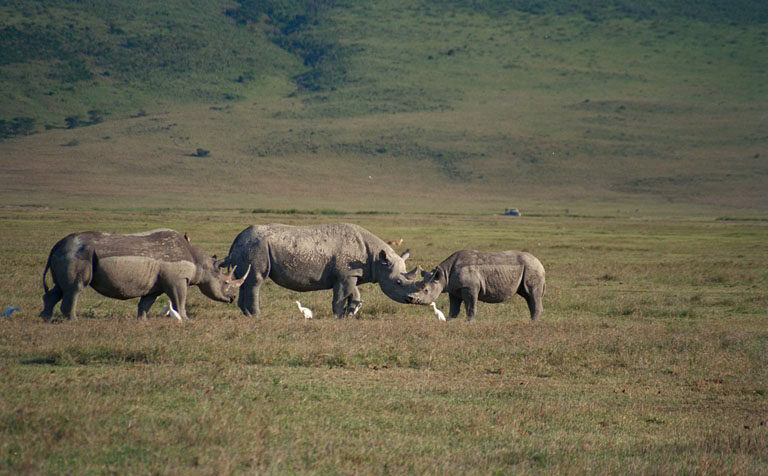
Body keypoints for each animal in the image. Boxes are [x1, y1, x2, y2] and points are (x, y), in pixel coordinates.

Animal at [40, 230, 249, 322]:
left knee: (60, 289)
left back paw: (45, 319)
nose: (232, 298)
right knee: (75, 288)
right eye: (226, 282)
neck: (201, 264)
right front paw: (185, 319)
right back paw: (74, 321)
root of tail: (56, 246)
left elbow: (146, 302)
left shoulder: (156, 284)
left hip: (68, 253)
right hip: (77, 254)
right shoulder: (177, 280)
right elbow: (180, 299)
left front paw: (142, 321)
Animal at [222, 224, 420, 320]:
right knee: (255, 281)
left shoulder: (351, 274)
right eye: (399, 283)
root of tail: (237, 238)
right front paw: (338, 317)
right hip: (256, 247)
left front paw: (350, 313)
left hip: (248, 247)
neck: (377, 260)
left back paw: (247, 315)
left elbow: (354, 294)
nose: (412, 300)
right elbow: (340, 296)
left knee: (244, 279)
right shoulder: (346, 274)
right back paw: (257, 316)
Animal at [402, 249, 544, 320]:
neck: (443, 275)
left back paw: (533, 323)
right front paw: (450, 321)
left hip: (532, 268)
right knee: (528, 296)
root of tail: (540, 263)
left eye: (425, 290)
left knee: (532, 294)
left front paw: (469, 323)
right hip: (528, 268)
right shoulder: (453, 289)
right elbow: (453, 309)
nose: (410, 299)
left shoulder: (470, 287)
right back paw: (531, 321)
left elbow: (470, 308)